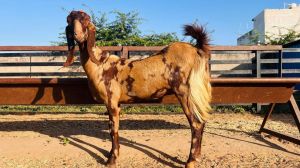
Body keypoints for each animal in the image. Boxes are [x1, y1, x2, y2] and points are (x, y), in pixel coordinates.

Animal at [66, 10, 211, 168]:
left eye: (86, 21)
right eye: (69, 21)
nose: (77, 35)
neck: (100, 65)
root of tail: (196, 50)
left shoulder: (111, 101)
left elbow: (113, 130)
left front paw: (112, 160)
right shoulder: (117, 103)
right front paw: (112, 155)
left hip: (185, 91)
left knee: (196, 123)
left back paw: (190, 161)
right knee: (201, 122)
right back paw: (197, 157)